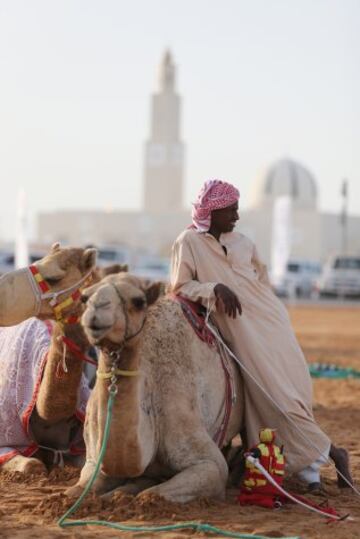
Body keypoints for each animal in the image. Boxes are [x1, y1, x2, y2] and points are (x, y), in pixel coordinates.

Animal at [69, 272, 245, 504]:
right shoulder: (92, 458)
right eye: (84, 298)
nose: (97, 310)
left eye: (138, 302)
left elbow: (152, 494)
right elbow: (76, 491)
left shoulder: (205, 456)